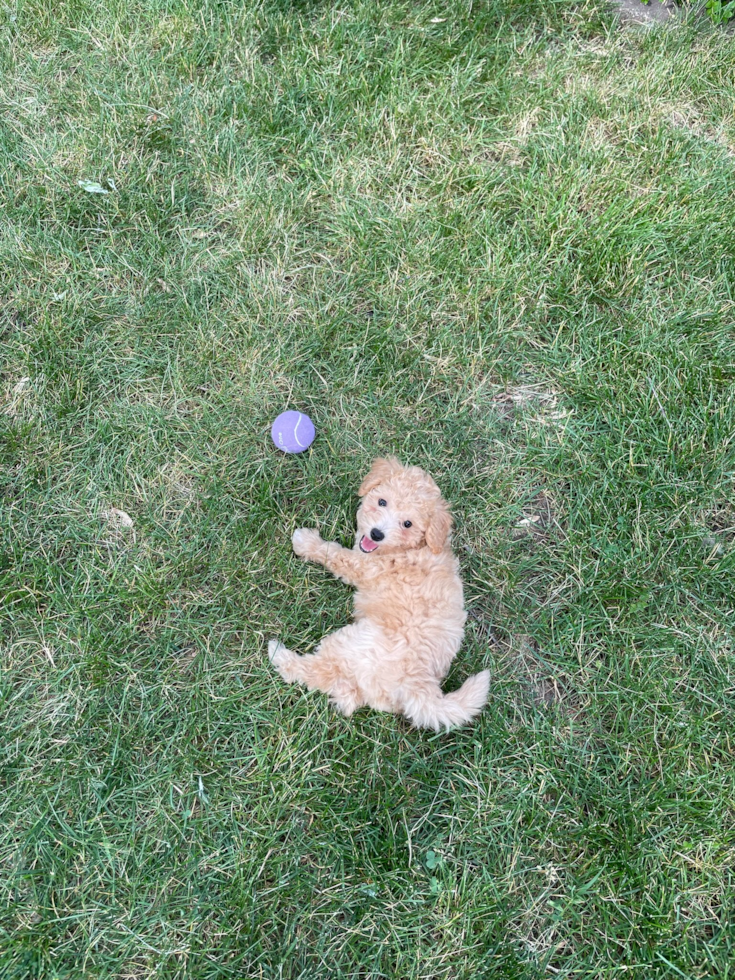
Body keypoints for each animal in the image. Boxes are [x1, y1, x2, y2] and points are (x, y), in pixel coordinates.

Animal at [268, 458, 488, 728]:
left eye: (407, 524)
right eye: (382, 502)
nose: (376, 534)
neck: (413, 548)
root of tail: (418, 687)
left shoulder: (363, 566)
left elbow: (336, 554)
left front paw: (307, 542)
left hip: (356, 643)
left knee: (320, 671)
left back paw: (280, 655)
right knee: (347, 695)